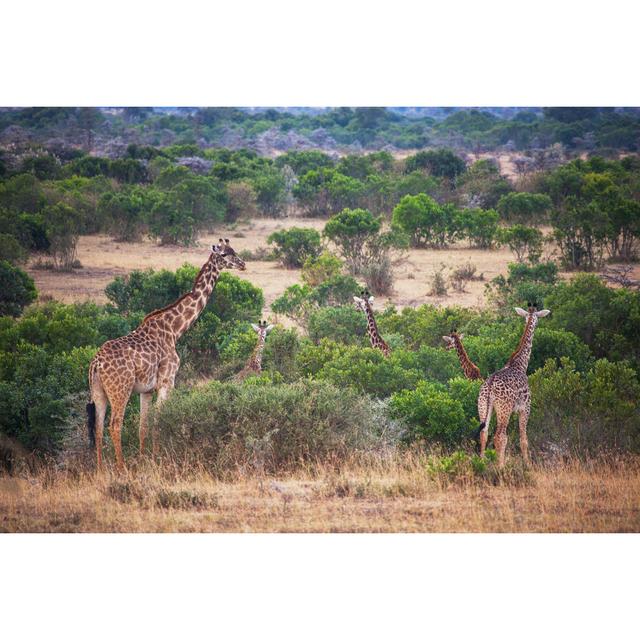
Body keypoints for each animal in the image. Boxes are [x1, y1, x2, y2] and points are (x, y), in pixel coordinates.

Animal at [85, 239, 245, 470]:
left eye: (234, 251)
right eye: (224, 254)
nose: (243, 264)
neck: (174, 329)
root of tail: (96, 364)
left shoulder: (146, 390)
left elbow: (143, 426)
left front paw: (144, 459)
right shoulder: (167, 381)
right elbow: (158, 422)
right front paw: (157, 460)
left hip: (98, 392)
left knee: (97, 428)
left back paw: (100, 470)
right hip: (120, 390)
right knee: (114, 425)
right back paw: (121, 468)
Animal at [476, 302, 552, 468]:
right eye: (538, 319)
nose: (537, 325)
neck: (520, 365)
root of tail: (490, 386)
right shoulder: (525, 408)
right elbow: (524, 439)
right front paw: (528, 466)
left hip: (483, 405)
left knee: (484, 432)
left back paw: (481, 463)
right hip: (504, 409)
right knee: (500, 436)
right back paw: (501, 467)